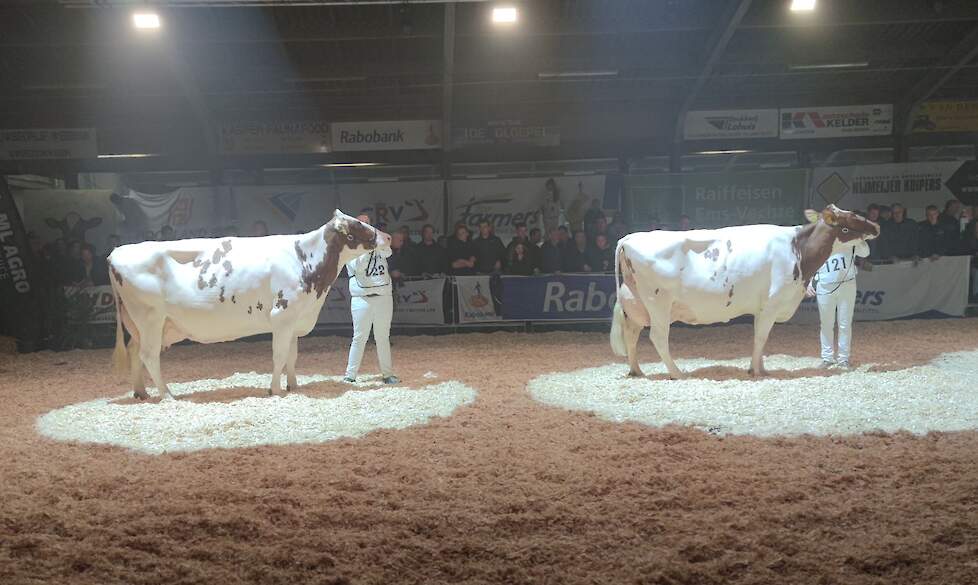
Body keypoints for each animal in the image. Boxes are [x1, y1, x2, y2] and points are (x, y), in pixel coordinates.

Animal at [108, 208, 390, 400]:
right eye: (359, 224)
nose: (387, 237)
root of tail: (116, 252)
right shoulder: (282, 315)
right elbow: (279, 355)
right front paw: (275, 390)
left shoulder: (294, 319)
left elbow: (292, 357)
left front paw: (294, 386)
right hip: (151, 318)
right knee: (148, 354)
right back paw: (166, 394)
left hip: (139, 323)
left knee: (135, 351)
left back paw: (141, 392)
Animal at [608, 205, 876, 378]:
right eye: (850, 219)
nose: (876, 226)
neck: (797, 251)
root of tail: (629, 238)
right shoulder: (772, 304)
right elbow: (761, 337)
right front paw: (756, 371)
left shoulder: (761, 308)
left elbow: (760, 337)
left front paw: (760, 368)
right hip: (658, 302)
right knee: (657, 337)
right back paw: (677, 373)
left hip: (635, 303)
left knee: (631, 334)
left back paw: (636, 371)